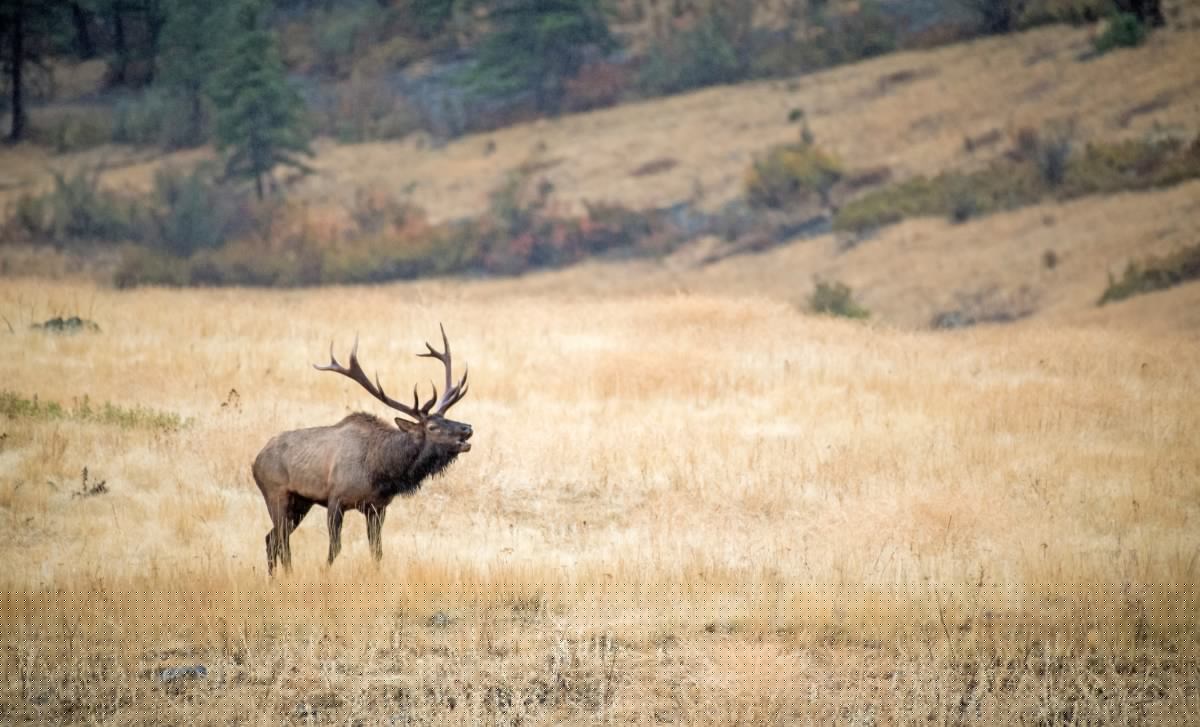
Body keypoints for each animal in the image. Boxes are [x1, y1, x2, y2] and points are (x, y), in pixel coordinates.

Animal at [252, 325, 472, 575]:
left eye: (447, 418)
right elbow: (335, 548)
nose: (467, 428)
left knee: (271, 538)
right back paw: (288, 575)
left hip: (301, 502)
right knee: (281, 540)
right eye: (432, 427)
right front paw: (325, 573)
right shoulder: (335, 499)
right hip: (276, 494)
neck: (381, 472)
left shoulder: (377, 508)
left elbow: (377, 551)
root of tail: (255, 461)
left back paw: (275, 577)